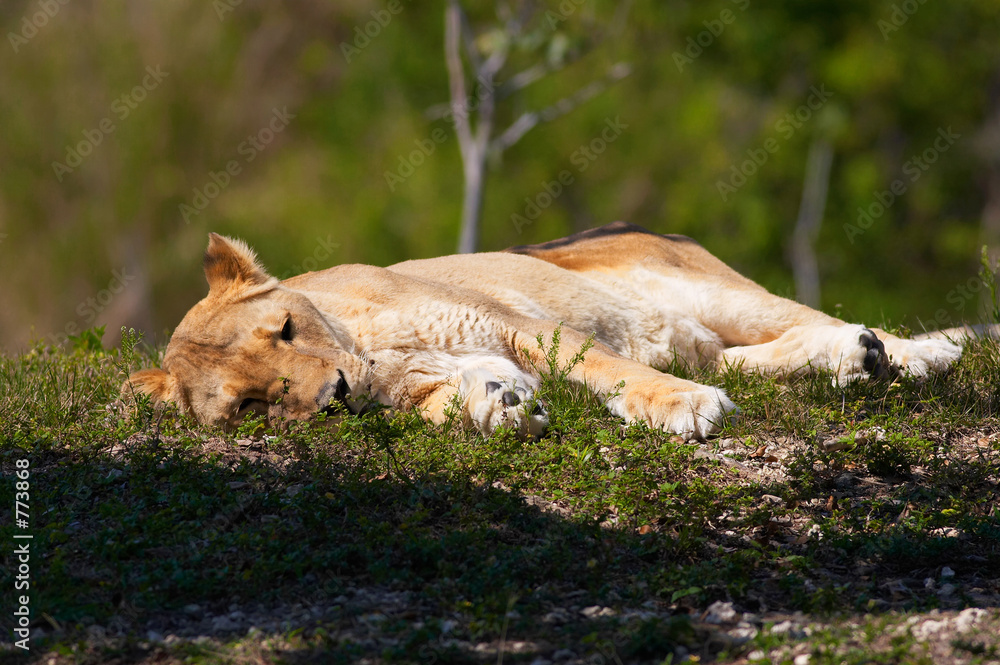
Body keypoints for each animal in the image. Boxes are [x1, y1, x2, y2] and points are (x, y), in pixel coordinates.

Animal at [126, 221, 963, 439]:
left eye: (285, 327)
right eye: (249, 405)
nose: (333, 392)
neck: (373, 357)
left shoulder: (514, 322)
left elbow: (609, 369)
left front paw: (678, 409)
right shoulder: (424, 381)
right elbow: (446, 404)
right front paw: (501, 405)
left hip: (712, 291)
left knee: (808, 318)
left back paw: (923, 352)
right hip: (706, 338)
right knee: (757, 357)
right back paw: (855, 361)